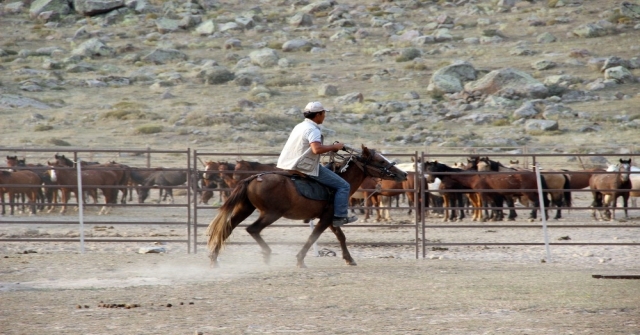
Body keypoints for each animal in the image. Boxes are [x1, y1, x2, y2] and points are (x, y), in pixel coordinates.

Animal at [208, 146, 408, 270]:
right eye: (380, 161)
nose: (404, 174)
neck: (342, 180)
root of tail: (253, 178)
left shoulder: (331, 218)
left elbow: (341, 236)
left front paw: (349, 259)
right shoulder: (326, 218)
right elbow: (314, 237)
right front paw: (300, 260)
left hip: (245, 208)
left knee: (228, 228)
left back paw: (214, 259)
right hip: (271, 214)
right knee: (253, 229)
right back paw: (267, 254)